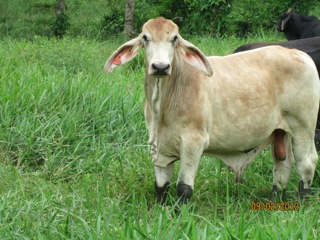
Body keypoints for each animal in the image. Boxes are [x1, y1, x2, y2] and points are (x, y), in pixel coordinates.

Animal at [104, 16, 318, 204]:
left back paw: (302, 201)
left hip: (303, 128)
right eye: (145, 37)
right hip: (281, 131)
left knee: (306, 163)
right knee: (282, 165)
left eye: (174, 38)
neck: (163, 104)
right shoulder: (157, 144)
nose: (160, 67)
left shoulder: (193, 142)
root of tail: (300, 55)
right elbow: (160, 186)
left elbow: (183, 188)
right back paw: (274, 199)